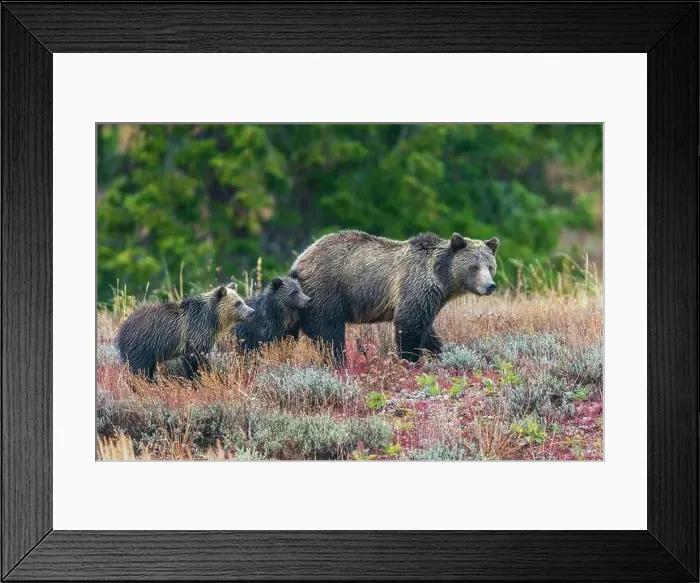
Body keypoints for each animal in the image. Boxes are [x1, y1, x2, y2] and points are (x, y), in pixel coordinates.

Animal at [116, 284, 254, 381]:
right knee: (139, 368)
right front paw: (199, 378)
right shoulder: (195, 333)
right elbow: (194, 360)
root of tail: (121, 328)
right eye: (237, 303)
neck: (211, 318)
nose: (252, 311)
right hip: (141, 345)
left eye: (242, 300)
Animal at [291, 230, 499, 363]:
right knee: (328, 332)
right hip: (327, 290)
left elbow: (427, 329)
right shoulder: (414, 286)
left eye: (490, 266)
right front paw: (410, 360)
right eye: (474, 267)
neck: (441, 278)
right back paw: (339, 361)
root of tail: (299, 260)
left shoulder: (430, 299)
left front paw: (440, 352)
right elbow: (409, 324)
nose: (490, 286)